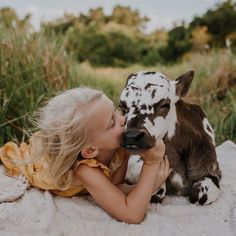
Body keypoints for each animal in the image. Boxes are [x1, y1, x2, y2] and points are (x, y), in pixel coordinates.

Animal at [120, 70, 221, 205]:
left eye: (164, 105)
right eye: (122, 106)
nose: (132, 136)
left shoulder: (214, 169)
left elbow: (199, 193)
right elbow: (157, 190)